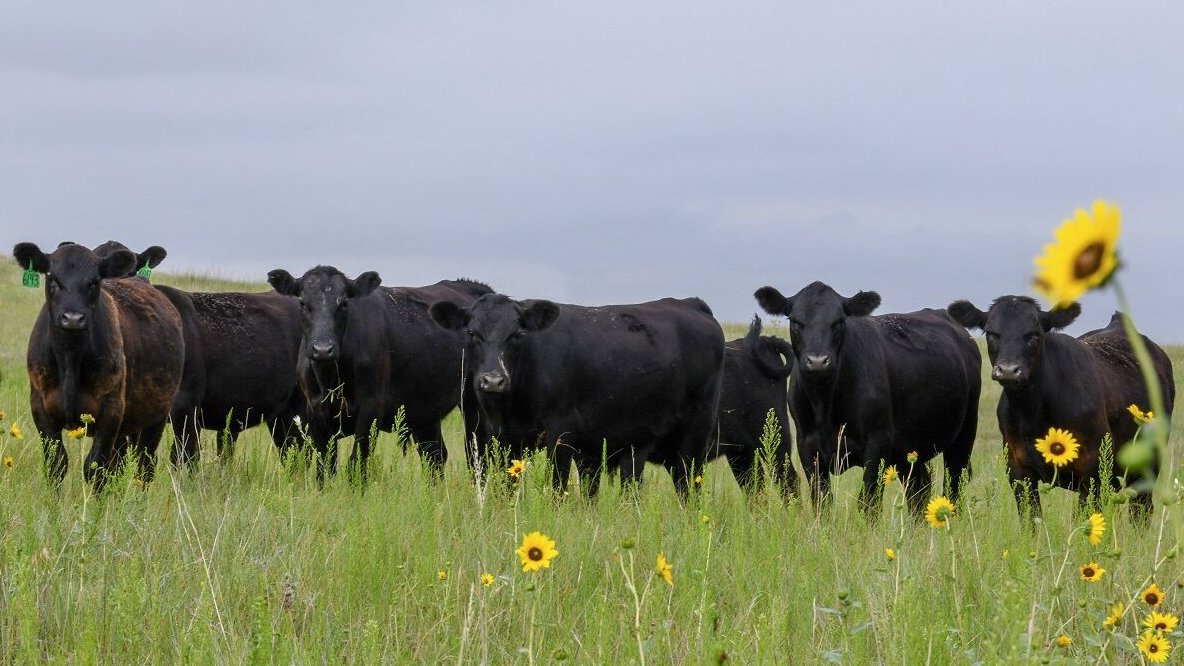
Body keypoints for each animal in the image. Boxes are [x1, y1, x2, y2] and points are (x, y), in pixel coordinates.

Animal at [13, 242, 185, 489]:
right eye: (52, 277)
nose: (72, 318)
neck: (70, 357)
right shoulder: (40, 406)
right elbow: (56, 464)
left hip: (156, 416)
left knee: (144, 466)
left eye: (94, 281)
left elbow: (96, 468)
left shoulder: (110, 410)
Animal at [267, 266, 492, 483]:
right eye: (302, 303)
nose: (323, 349)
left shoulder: (370, 410)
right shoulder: (314, 412)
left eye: (344, 303)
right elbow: (325, 468)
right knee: (434, 456)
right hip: (425, 410)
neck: (329, 381)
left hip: (473, 404)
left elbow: (357, 464)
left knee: (478, 455)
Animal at [429, 293, 726, 498]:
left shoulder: (560, 433)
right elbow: (507, 487)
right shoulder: (500, 439)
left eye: (517, 334)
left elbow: (557, 488)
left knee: (688, 490)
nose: (493, 380)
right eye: (471, 333)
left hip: (693, 440)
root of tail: (690, 304)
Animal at [755, 281, 981, 517]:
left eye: (839, 321)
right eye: (796, 321)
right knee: (919, 491)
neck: (825, 402)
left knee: (953, 485)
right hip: (909, 449)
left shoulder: (877, 442)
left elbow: (868, 502)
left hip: (964, 433)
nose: (817, 361)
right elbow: (822, 500)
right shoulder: (807, 445)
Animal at [947, 296, 1176, 519]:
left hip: (1148, 466)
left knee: (1141, 512)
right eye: (992, 333)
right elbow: (1031, 520)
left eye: (1034, 335)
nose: (1008, 370)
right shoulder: (1017, 468)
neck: (1034, 414)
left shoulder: (1093, 469)